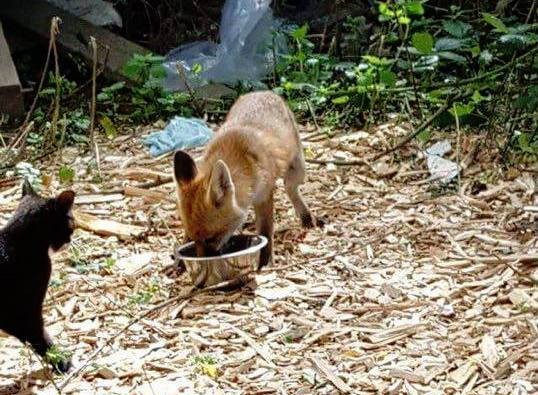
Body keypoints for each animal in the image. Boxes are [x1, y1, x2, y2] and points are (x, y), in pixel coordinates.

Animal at [172, 91, 314, 268]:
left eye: (210, 238)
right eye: (193, 239)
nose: (202, 263)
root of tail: (262, 92)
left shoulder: (264, 196)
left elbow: (266, 232)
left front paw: (266, 261)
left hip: (298, 169)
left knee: (290, 188)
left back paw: (306, 217)